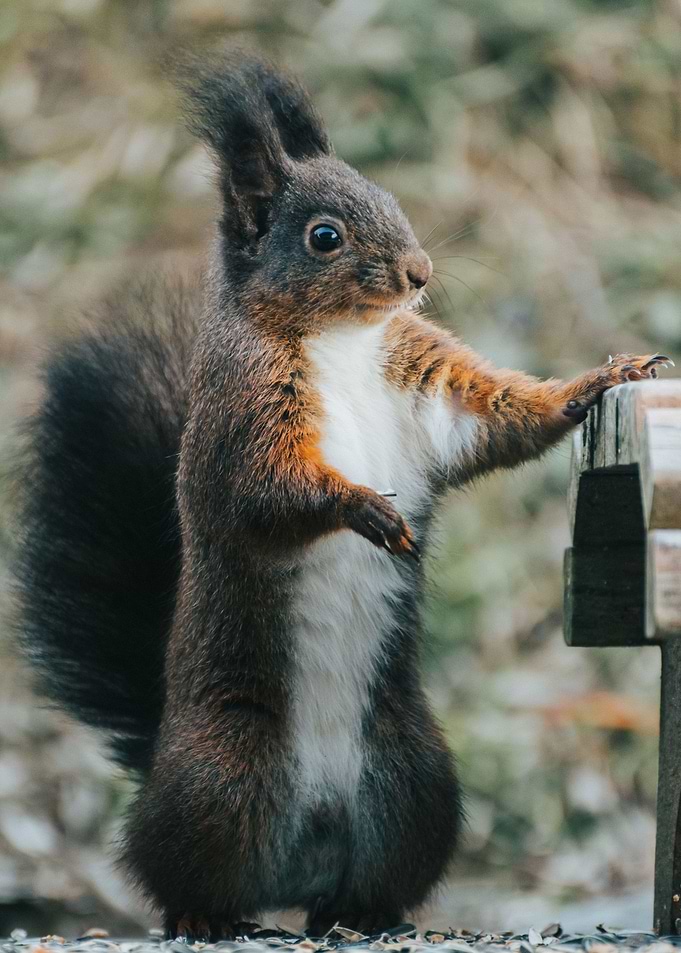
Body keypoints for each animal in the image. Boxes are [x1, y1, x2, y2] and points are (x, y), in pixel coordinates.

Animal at [15, 51, 670, 941]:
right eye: (323, 236)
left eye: (389, 199)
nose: (418, 272)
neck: (344, 340)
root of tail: (305, 847)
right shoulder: (246, 414)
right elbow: (270, 490)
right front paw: (367, 510)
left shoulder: (430, 389)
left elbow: (501, 418)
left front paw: (602, 379)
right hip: (221, 777)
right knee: (175, 871)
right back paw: (210, 916)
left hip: (414, 784)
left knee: (363, 881)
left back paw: (364, 913)